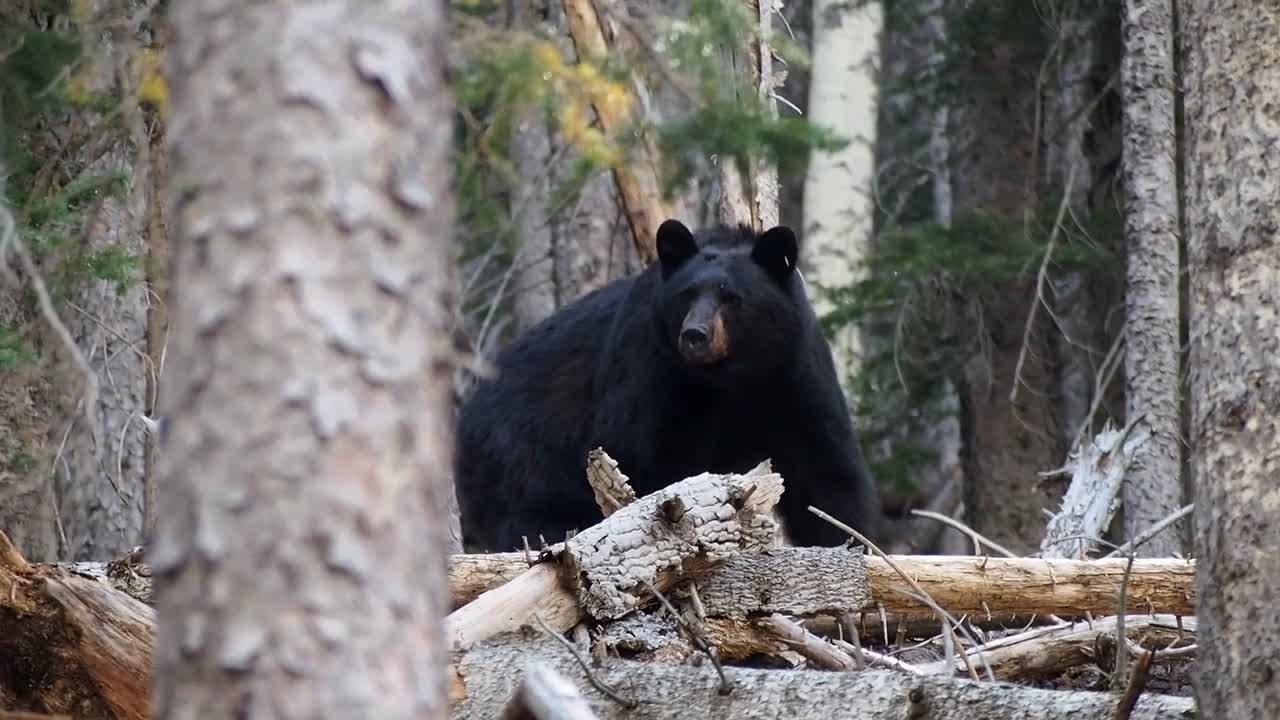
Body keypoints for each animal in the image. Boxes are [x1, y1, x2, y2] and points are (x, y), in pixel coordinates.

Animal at [455, 219, 885, 548]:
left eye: (732, 297)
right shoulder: (652, 369)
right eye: (687, 293)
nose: (694, 335)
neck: (733, 377)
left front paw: (848, 542)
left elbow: (825, 473)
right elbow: (647, 457)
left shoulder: (794, 377)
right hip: (519, 457)